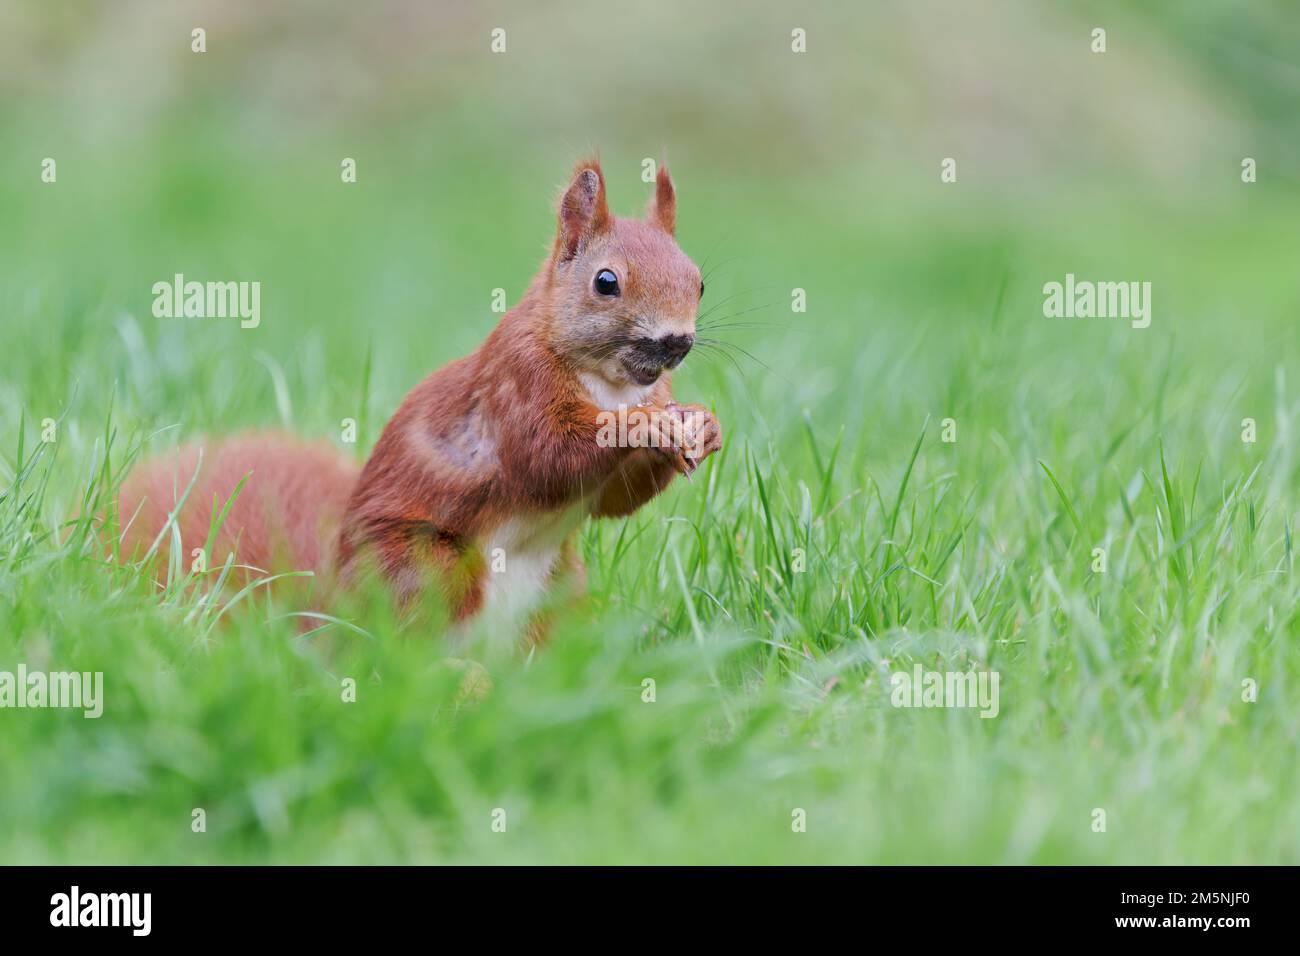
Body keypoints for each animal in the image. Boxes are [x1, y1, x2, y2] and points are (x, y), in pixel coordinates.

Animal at [117, 158, 722, 639]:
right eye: (605, 282)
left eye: (699, 281)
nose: (677, 341)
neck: (613, 384)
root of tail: (324, 627)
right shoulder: (515, 386)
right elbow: (547, 456)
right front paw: (642, 426)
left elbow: (614, 498)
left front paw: (704, 425)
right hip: (424, 568)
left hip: (557, 590)